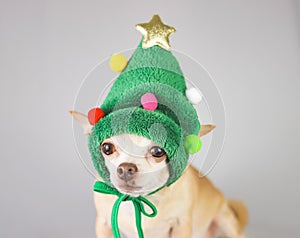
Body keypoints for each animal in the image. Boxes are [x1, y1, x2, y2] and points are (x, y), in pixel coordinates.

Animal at [71, 110, 248, 237]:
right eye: (107, 148)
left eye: (158, 151)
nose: (126, 168)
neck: (141, 199)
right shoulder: (104, 223)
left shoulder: (181, 226)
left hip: (225, 220)